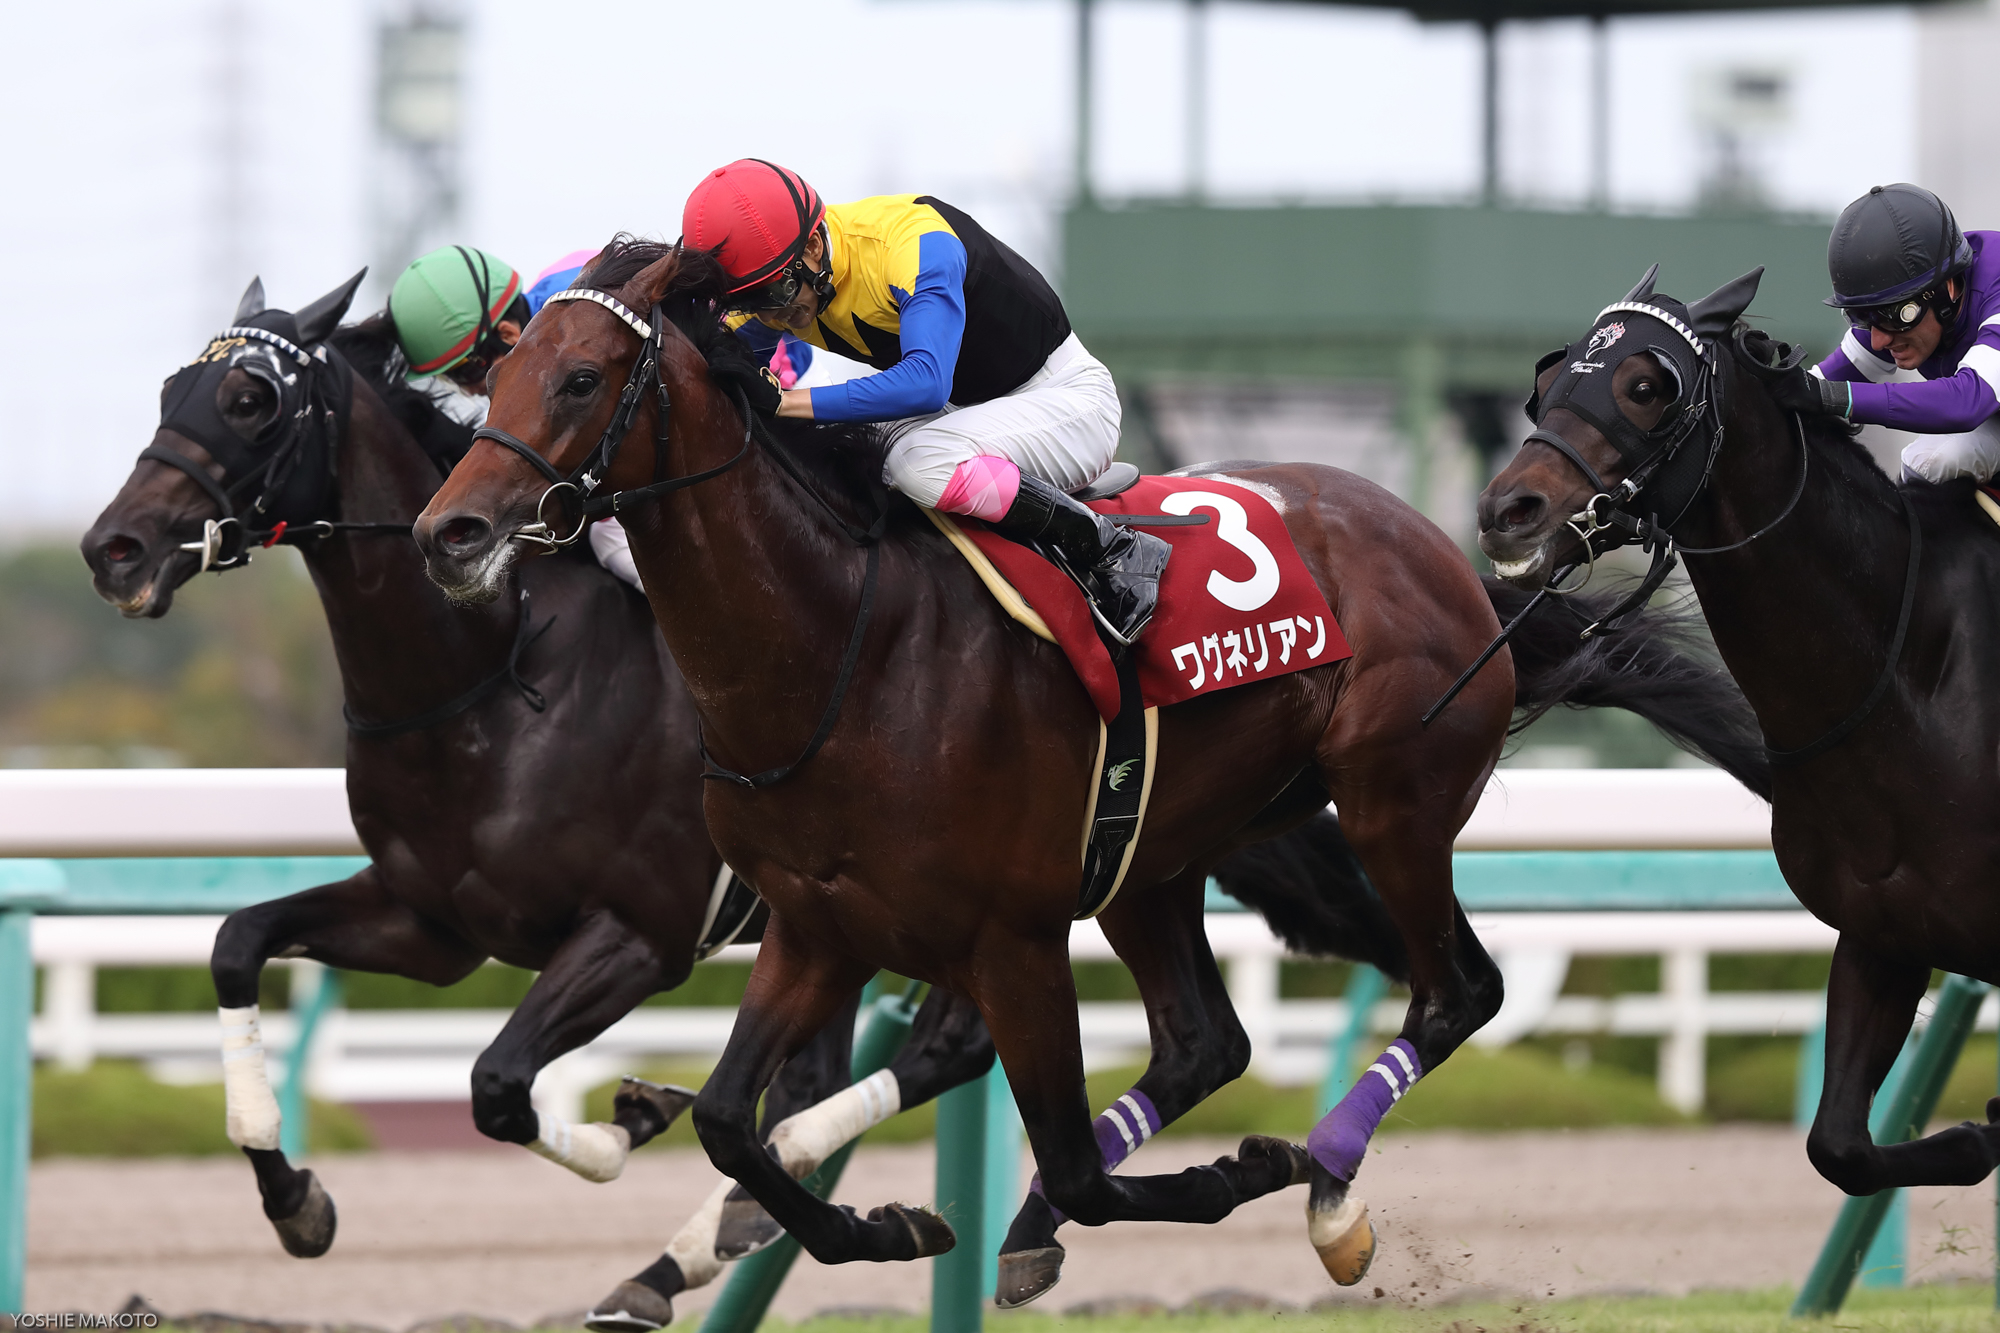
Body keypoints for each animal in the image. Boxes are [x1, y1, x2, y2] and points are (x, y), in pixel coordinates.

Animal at [414, 239, 1776, 1288]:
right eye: (498, 374)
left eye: (580, 376)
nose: (451, 531)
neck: (841, 648)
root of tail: (1440, 546)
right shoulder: (815, 923)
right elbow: (726, 1124)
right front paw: (878, 1224)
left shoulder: (1008, 939)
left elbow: (1068, 1158)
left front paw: (1244, 1166)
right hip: (1152, 854)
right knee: (1205, 1043)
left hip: (1393, 802)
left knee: (1455, 994)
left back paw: (1326, 1191)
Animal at [1480, 268, 2000, 1192]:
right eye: (1550, 380)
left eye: (1646, 386)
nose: (1509, 509)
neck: (1911, 675)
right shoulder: (1883, 932)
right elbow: (1840, 1146)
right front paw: (1979, 1134)